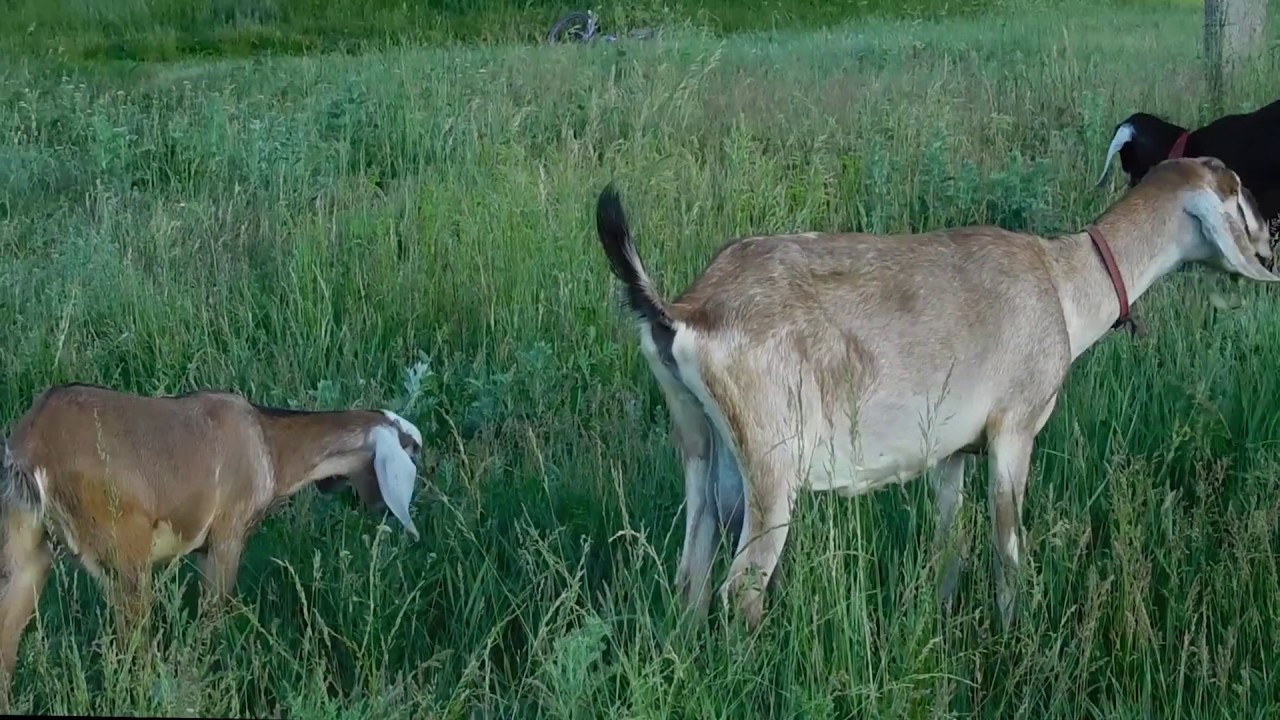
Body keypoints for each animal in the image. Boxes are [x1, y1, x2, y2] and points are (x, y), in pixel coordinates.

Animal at [0, 381, 430, 691]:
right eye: (412, 449)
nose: (376, 509)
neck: (269, 446)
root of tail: (32, 445)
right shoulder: (226, 538)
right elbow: (212, 619)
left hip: (27, 552)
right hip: (124, 559)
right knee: (132, 651)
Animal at [596, 155, 1280, 627]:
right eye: (1237, 191)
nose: (1271, 240)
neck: (1063, 282)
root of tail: (687, 309)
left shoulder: (951, 452)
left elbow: (948, 539)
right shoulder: (1014, 432)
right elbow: (1007, 543)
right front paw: (1014, 629)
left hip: (704, 452)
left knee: (691, 575)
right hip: (772, 470)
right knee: (741, 587)